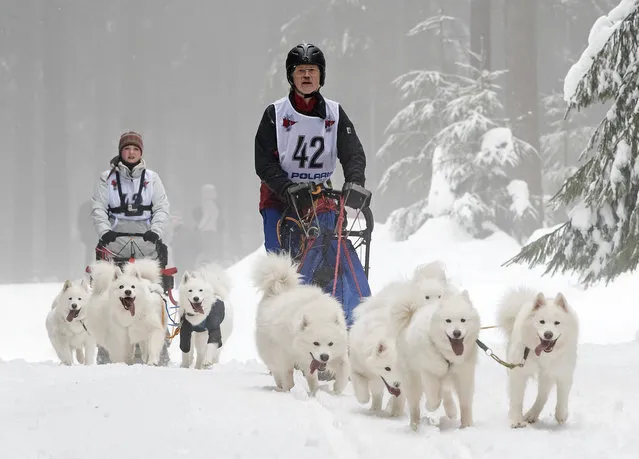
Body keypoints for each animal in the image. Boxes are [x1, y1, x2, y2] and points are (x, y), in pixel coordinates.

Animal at [252, 252, 350, 396]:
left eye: (331, 344)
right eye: (316, 343)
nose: (324, 357)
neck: (319, 314)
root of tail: (277, 291)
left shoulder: (335, 355)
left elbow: (342, 372)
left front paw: (335, 392)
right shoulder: (285, 354)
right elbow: (287, 373)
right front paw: (289, 390)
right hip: (270, 351)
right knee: (276, 369)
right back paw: (280, 387)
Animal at [392, 262, 478, 432]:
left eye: (463, 320)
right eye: (448, 321)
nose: (456, 333)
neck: (447, 356)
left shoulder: (464, 374)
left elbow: (465, 403)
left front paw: (466, 426)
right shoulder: (429, 373)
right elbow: (433, 399)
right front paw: (429, 407)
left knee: (445, 393)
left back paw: (451, 411)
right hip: (412, 376)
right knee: (414, 405)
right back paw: (415, 426)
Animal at [498, 290, 584, 430]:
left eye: (557, 322)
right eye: (542, 321)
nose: (548, 334)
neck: (544, 356)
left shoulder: (563, 372)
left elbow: (562, 396)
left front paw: (561, 415)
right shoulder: (518, 373)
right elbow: (517, 399)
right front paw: (516, 421)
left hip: (546, 376)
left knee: (542, 396)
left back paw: (531, 415)